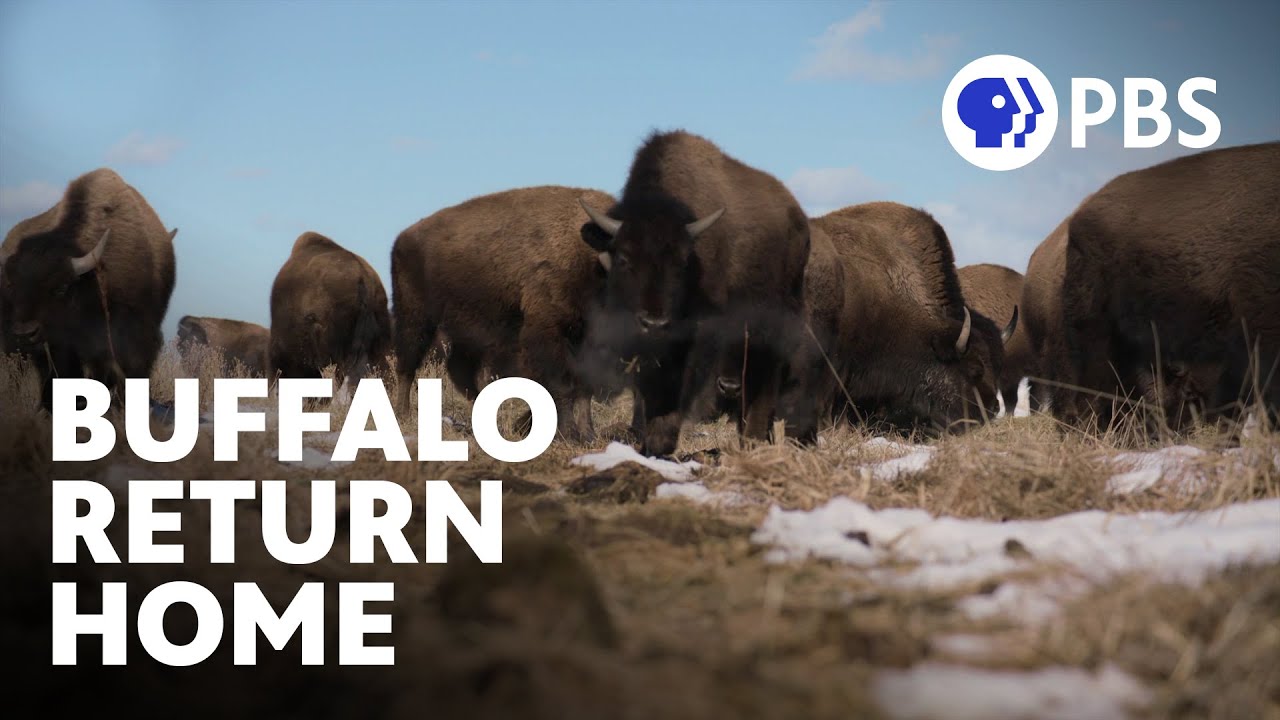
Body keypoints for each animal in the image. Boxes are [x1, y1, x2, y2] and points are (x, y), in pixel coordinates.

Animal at [391, 186, 618, 440]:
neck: (589, 254)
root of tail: (402, 238)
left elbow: (584, 387)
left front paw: (588, 434)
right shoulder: (547, 332)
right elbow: (562, 384)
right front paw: (568, 433)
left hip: (465, 329)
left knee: (462, 372)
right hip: (414, 317)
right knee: (407, 364)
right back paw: (402, 415)